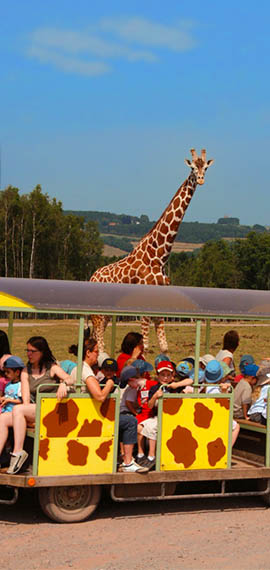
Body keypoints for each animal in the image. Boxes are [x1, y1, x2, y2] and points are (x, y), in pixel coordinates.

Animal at [90, 148, 213, 350]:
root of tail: (92, 277)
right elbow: (145, 346)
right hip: (97, 313)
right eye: (193, 168)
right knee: (98, 342)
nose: (201, 179)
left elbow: (164, 346)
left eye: (206, 168)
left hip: (105, 314)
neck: (159, 255)